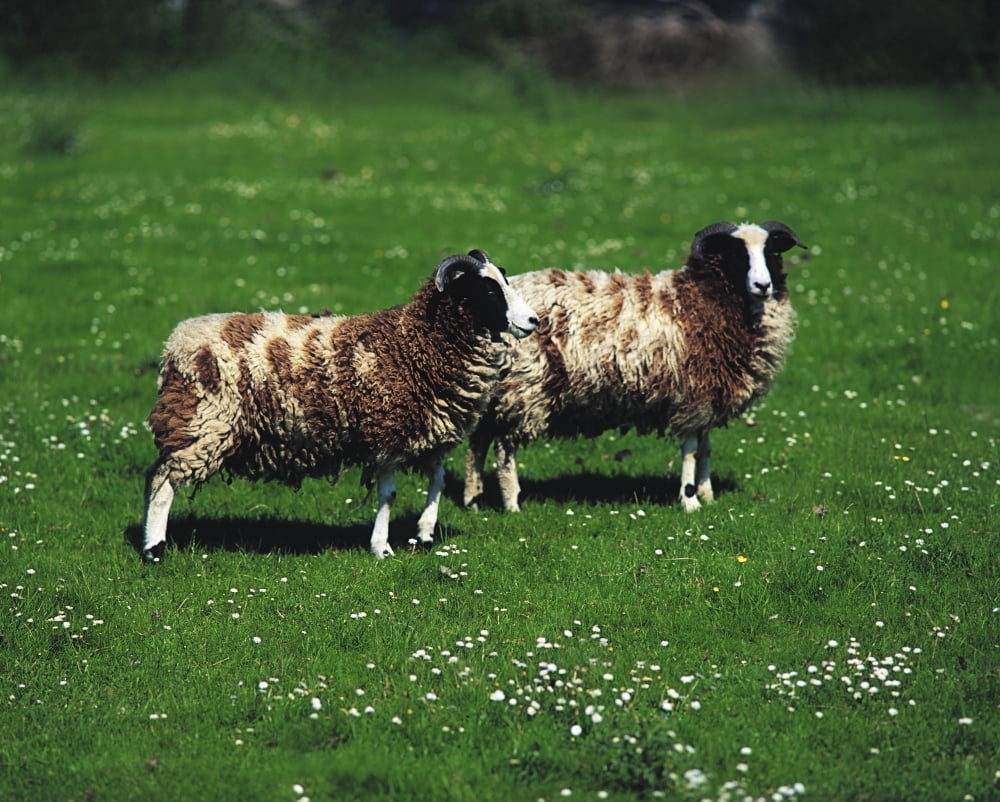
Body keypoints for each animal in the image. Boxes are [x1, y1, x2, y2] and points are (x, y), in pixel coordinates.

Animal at [141, 249, 539, 561]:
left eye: (505, 279)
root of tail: (175, 343)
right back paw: (153, 548)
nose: (533, 321)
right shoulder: (387, 435)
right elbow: (389, 494)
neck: (414, 343)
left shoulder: (426, 432)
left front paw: (425, 533)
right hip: (202, 422)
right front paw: (381, 547)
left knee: (154, 476)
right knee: (163, 481)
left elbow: (438, 480)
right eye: (488, 289)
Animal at [463, 221, 806, 514]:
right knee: (504, 448)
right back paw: (512, 503)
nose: (763, 285)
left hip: (498, 389)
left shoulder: (709, 395)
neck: (704, 300)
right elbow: (691, 449)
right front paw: (690, 500)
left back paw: (473, 499)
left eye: (772, 252)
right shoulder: (692, 396)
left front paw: (708, 495)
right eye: (737, 254)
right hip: (526, 388)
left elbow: (706, 448)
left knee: (478, 441)